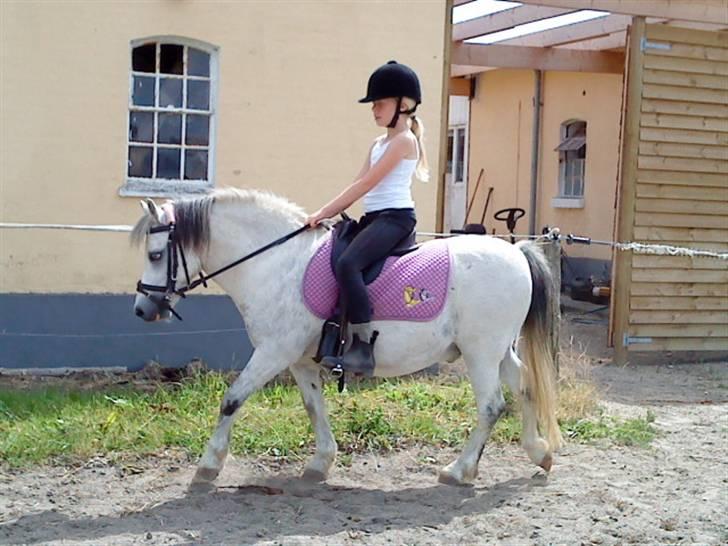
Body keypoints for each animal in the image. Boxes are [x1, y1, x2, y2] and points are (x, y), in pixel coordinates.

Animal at [131, 188, 561, 487]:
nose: (142, 310)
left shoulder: (273, 352)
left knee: (491, 406)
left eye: (155, 255)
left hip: (480, 353)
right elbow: (313, 406)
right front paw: (321, 462)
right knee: (525, 388)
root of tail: (517, 253)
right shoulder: (298, 359)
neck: (277, 264)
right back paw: (538, 452)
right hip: (499, 352)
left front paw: (209, 465)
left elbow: (232, 400)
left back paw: (459, 470)